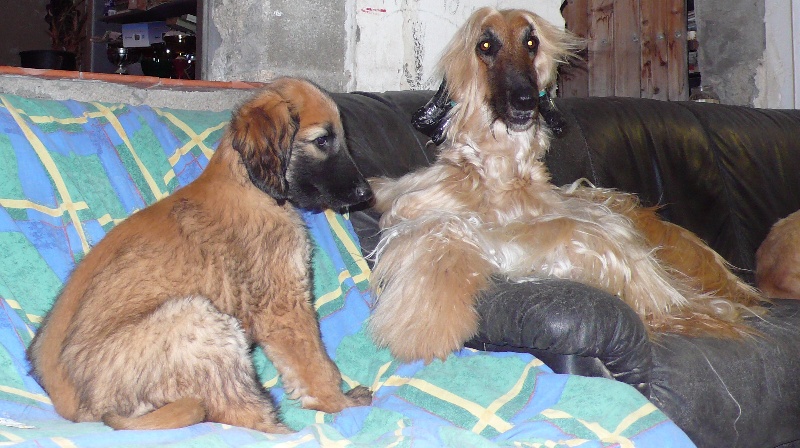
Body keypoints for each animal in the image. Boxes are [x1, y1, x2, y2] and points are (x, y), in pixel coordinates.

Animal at [27, 77, 374, 433]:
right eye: (322, 140)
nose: (366, 194)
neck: (249, 186)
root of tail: (77, 411)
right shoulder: (284, 303)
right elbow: (316, 364)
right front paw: (339, 403)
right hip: (199, 321)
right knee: (243, 414)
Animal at [367, 7, 764, 363]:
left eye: (531, 42)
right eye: (485, 44)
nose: (526, 101)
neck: (499, 178)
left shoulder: (576, 237)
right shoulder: (411, 206)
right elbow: (440, 226)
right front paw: (424, 321)